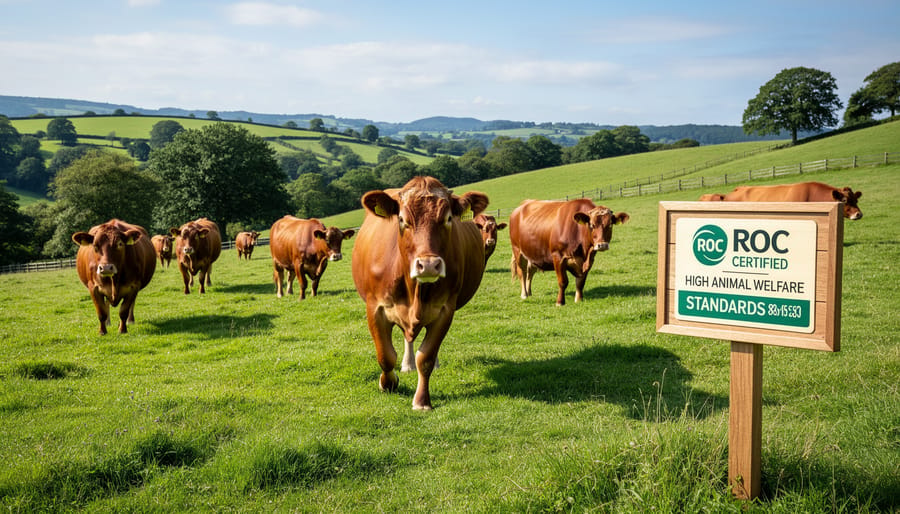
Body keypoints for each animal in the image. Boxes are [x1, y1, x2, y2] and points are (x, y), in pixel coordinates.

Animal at [352, 176, 489, 410]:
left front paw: (422, 401)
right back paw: (406, 365)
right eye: (402, 219)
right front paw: (388, 383)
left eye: (448, 218)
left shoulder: (444, 310)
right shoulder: (375, 308)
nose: (429, 265)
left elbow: (425, 357)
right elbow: (385, 356)